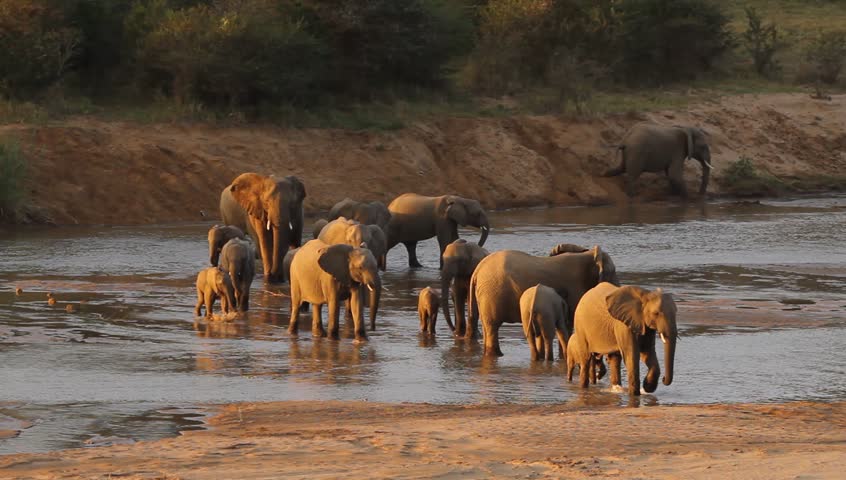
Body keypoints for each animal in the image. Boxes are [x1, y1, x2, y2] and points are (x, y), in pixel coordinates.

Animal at [469, 245, 619, 357]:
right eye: (613, 271)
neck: (589, 255)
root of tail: (477, 270)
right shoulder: (575, 288)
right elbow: (567, 324)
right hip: (491, 295)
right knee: (492, 327)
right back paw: (498, 355)